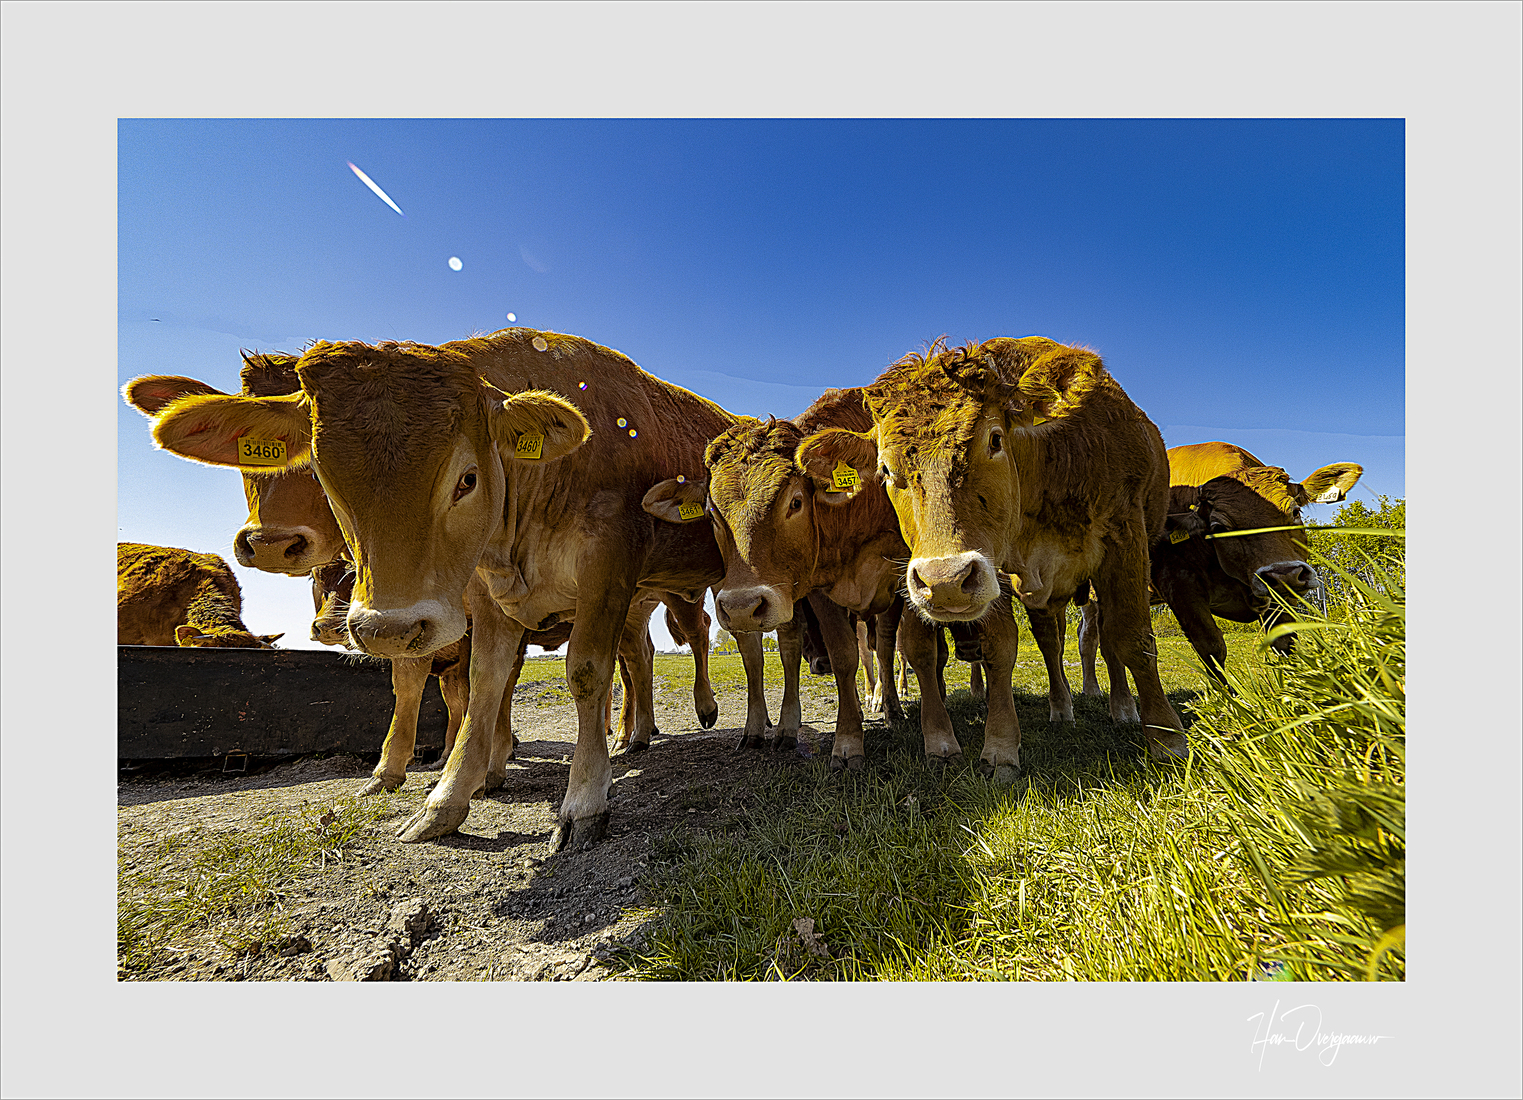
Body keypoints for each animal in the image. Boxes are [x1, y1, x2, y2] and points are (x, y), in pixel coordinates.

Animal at [790, 337, 1190, 779]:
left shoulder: (1125, 535)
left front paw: (1167, 738)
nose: (944, 581)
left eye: (995, 440)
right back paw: (1061, 707)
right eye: (885, 469)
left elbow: (1132, 638)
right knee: (1050, 641)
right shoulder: (993, 571)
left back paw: (1120, 706)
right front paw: (1001, 745)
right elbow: (1000, 644)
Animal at [1077, 442, 1363, 687]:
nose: (1285, 575)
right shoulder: (1180, 586)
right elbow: (1211, 649)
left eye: (1295, 511)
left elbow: (1285, 641)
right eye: (1219, 528)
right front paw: (1229, 704)